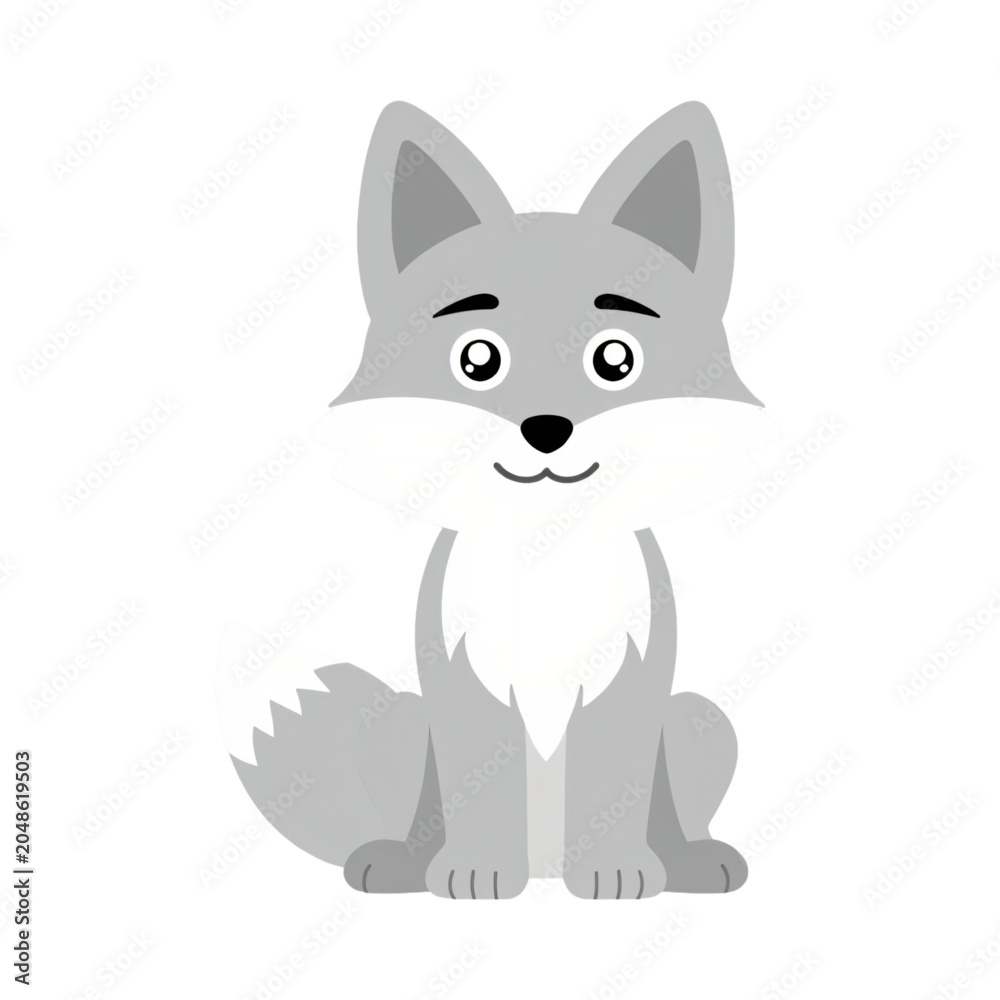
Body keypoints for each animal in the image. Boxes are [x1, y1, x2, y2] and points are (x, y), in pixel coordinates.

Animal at [220, 100, 779, 899]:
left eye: (615, 359)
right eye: (477, 359)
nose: (546, 428)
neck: (540, 549)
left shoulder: (630, 681)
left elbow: (613, 781)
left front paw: (614, 873)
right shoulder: (462, 684)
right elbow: (479, 781)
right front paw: (476, 872)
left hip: (700, 720)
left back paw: (691, 862)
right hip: (397, 724)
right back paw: (398, 862)